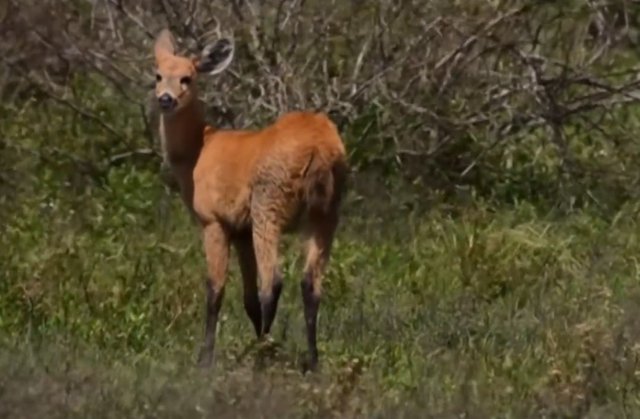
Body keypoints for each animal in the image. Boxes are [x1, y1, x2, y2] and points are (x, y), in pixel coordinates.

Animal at [151, 27, 348, 372]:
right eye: (158, 75)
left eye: (187, 77)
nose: (165, 99)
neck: (197, 153)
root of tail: (321, 149)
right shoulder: (240, 227)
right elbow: (248, 299)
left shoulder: (214, 219)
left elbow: (215, 289)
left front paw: (204, 359)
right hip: (325, 211)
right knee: (310, 284)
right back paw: (310, 361)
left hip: (269, 203)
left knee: (274, 281)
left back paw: (262, 356)